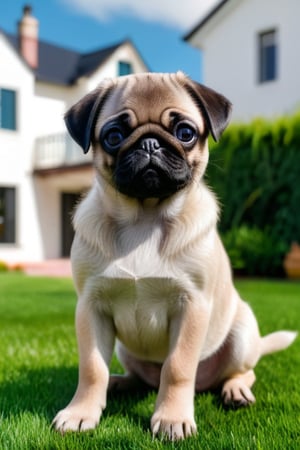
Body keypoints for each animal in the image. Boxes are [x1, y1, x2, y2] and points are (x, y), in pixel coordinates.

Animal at [52, 73, 296, 440]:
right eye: (114, 136)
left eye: (185, 133)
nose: (150, 144)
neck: (145, 218)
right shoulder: (91, 308)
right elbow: (93, 368)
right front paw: (81, 412)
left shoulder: (191, 305)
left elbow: (178, 366)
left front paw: (171, 418)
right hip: (125, 350)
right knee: (138, 377)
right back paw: (120, 383)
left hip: (241, 334)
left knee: (241, 372)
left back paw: (235, 390)